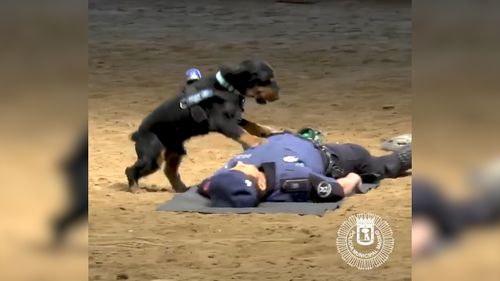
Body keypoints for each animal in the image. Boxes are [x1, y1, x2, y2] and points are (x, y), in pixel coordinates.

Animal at [125, 59, 282, 192]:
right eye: (266, 80)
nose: (279, 94)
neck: (227, 87)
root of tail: (137, 133)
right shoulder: (221, 121)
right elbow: (241, 132)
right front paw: (258, 141)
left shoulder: (234, 117)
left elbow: (250, 124)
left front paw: (266, 130)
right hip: (152, 155)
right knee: (130, 169)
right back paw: (135, 188)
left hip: (176, 150)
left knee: (169, 170)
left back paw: (181, 188)